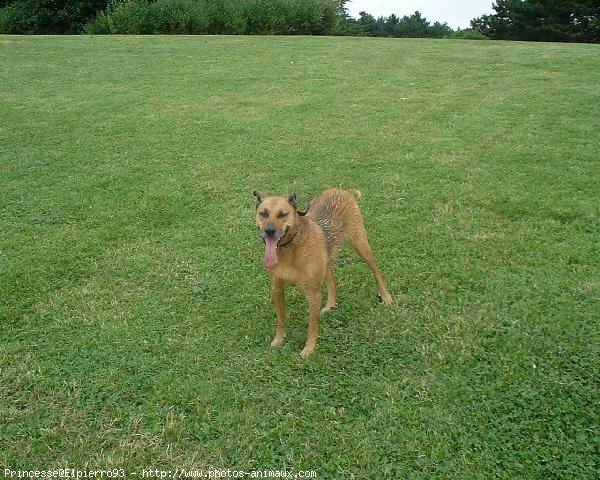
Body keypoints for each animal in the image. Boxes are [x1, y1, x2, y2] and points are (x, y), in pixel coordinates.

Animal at [254, 188, 392, 356]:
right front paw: (279, 340)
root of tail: (343, 190)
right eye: (263, 213)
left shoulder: (313, 294)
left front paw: (309, 348)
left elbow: (312, 325)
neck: (290, 247)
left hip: (360, 244)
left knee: (377, 272)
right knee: (332, 281)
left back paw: (385, 296)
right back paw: (329, 305)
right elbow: (281, 319)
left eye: (282, 214)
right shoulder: (277, 289)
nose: (269, 231)